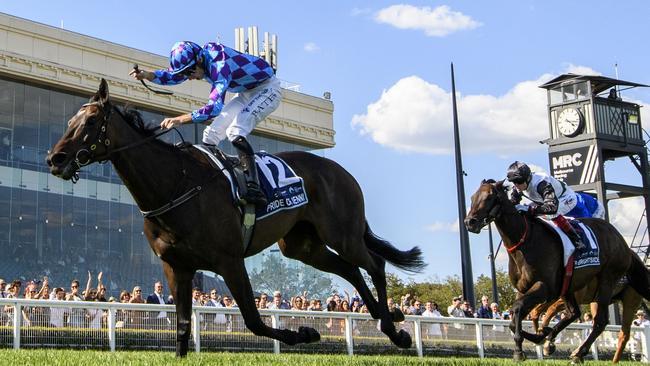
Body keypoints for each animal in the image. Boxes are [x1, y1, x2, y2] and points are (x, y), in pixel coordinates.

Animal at [45, 78, 426, 356]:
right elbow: (183, 324)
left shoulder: (229, 260)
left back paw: (394, 328)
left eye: (91, 121)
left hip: (342, 233)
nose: (55, 159)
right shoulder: (176, 266)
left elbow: (253, 320)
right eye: (70, 120)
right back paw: (387, 318)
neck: (175, 183)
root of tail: (342, 172)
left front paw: (304, 332)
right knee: (350, 269)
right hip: (303, 246)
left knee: (374, 264)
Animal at [460, 179, 648, 362]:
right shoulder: (523, 289)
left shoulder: (545, 287)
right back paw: (553, 341)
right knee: (574, 313)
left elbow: (519, 309)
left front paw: (520, 350)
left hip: (608, 281)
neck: (524, 242)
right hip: (570, 287)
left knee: (601, 321)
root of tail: (623, 244)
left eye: (489, 197)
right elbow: (516, 317)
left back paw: (578, 354)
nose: (470, 222)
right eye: (472, 197)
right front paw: (539, 338)